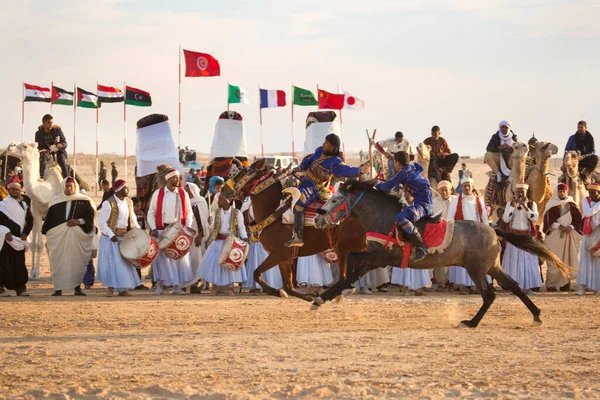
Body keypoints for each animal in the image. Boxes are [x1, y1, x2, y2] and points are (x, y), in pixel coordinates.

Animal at [11, 143, 63, 278]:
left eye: (24, 145)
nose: (10, 145)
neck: (48, 192)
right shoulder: (37, 213)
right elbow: (38, 245)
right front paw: (35, 273)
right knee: (34, 243)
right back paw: (33, 271)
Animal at [221, 159, 366, 300]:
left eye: (244, 172)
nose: (223, 190)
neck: (274, 213)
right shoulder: (284, 258)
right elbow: (288, 286)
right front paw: (305, 296)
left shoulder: (279, 254)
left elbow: (257, 273)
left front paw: (279, 292)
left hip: (345, 247)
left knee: (346, 276)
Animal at [314, 180, 572, 328]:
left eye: (335, 199)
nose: (317, 218)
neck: (384, 218)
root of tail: (493, 228)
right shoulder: (373, 260)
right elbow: (351, 268)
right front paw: (322, 298)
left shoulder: (381, 259)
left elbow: (350, 262)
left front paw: (336, 292)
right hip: (492, 267)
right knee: (514, 286)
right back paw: (536, 315)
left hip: (476, 268)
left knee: (489, 295)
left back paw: (471, 322)